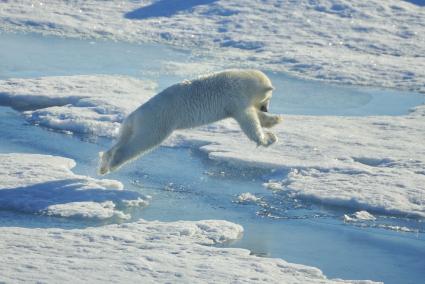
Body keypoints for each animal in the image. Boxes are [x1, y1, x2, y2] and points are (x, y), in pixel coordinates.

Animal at [98, 70, 282, 174]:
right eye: (268, 98)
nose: (266, 108)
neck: (243, 82)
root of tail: (134, 115)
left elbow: (252, 116)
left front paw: (275, 120)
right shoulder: (235, 97)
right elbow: (248, 120)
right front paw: (267, 138)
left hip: (132, 126)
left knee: (122, 139)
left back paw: (104, 163)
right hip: (157, 121)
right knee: (141, 142)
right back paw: (113, 164)